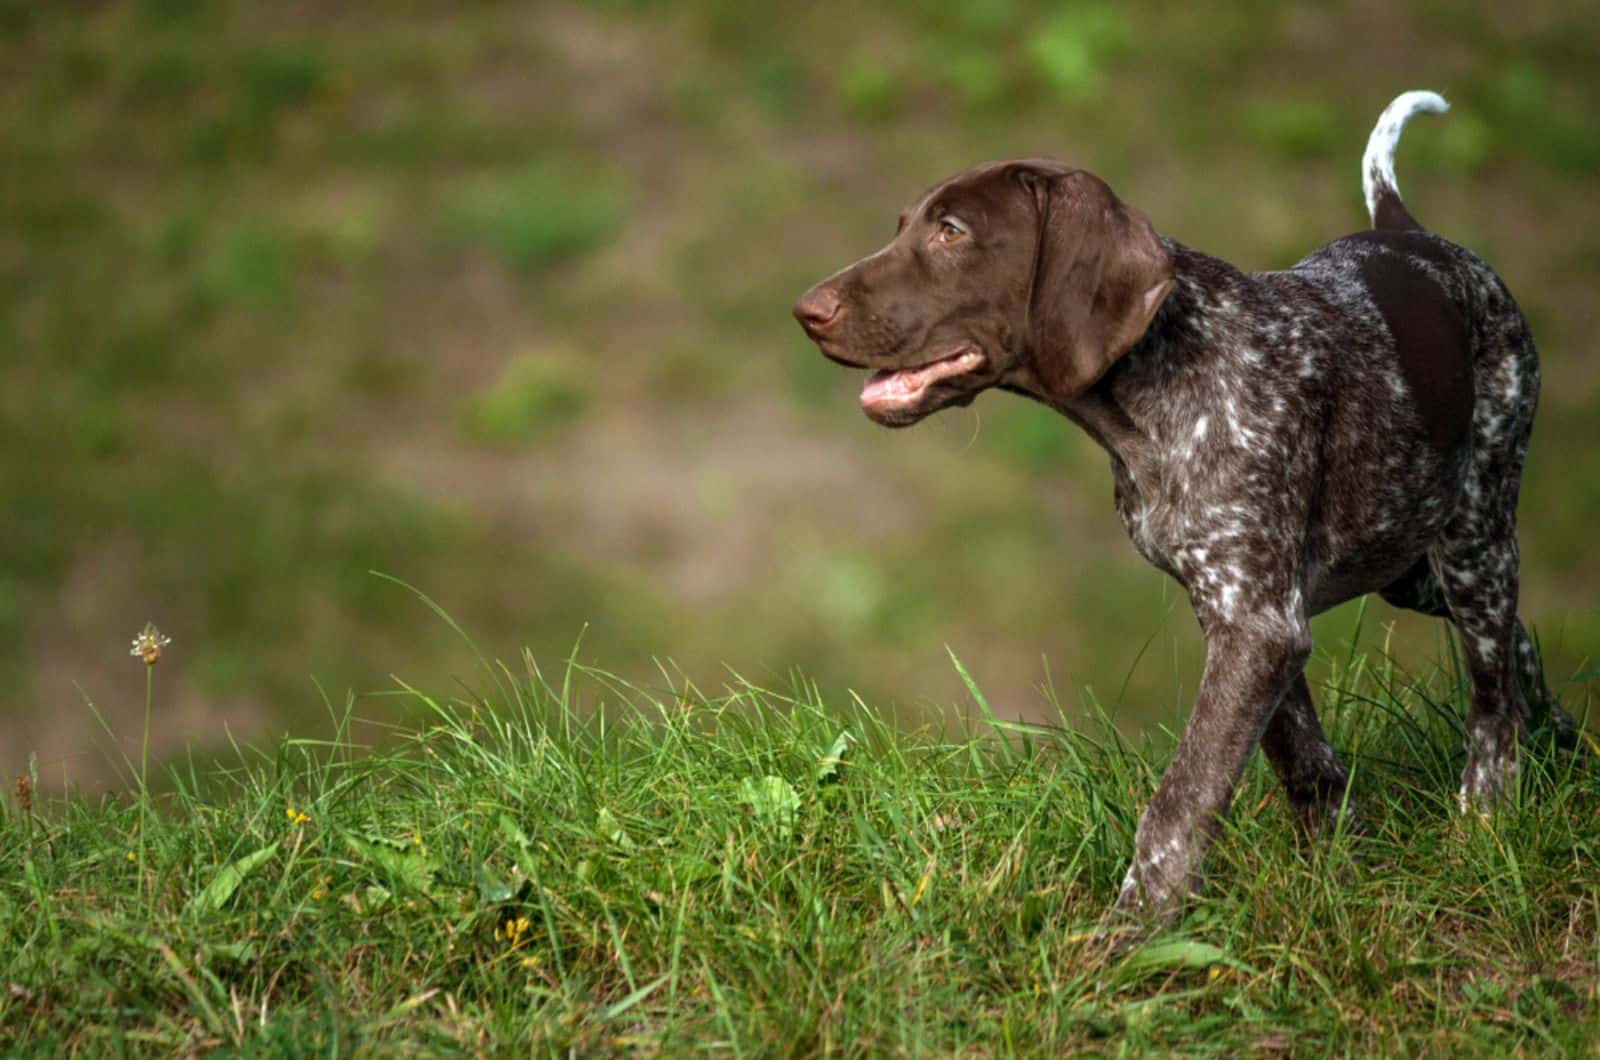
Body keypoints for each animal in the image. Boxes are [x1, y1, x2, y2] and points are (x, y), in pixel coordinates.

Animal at [793, 93, 1568, 922]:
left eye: (952, 232)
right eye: (905, 225)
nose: (807, 310)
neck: (1159, 383)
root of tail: (1411, 233)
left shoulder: (1257, 624)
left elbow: (1182, 797)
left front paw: (1133, 930)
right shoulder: (1246, 614)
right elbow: (1300, 757)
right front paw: (1337, 871)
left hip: (1472, 532)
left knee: (1490, 693)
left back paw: (1488, 816)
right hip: (1407, 558)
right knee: (1514, 644)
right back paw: (1556, 737)